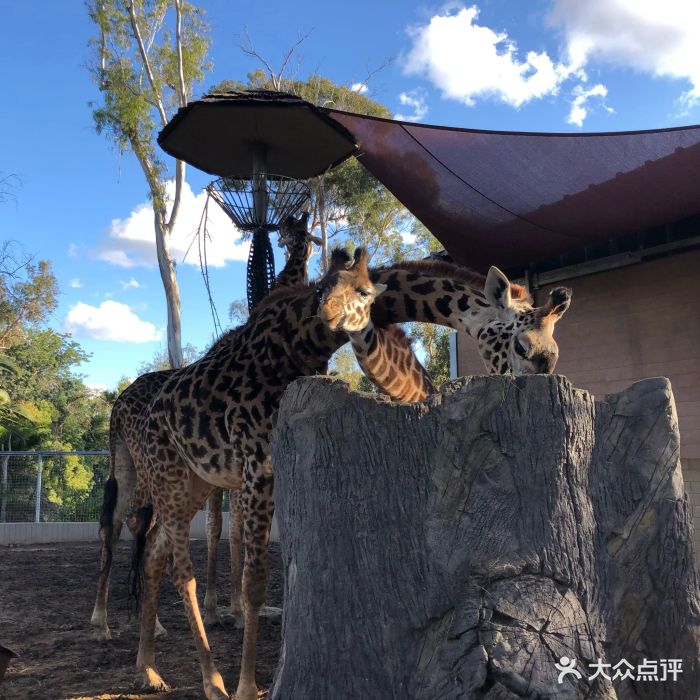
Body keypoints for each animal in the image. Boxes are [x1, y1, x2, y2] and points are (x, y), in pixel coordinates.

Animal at [91, 212, 312, 640]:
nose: (293, 239)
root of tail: (117, 408)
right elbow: (229, 530)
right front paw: (232, 611)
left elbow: (221, 530)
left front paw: (223, 609)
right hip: (152, 468)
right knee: (139, 524)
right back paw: (139, 622)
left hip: (125, 462)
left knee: (114, 522)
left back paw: (105, 620)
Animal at [112, 249, 572, 696]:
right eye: (522, 347)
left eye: (553, 355)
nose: (538, 389)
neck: (301, 340)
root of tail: (144, 415)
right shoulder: (257, 463)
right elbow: (255, 582)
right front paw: (247, 687)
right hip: (168, 477)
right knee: (177, 568)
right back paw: (210, 682)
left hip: (195, 481)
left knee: (154, 553)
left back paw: (148, 668)